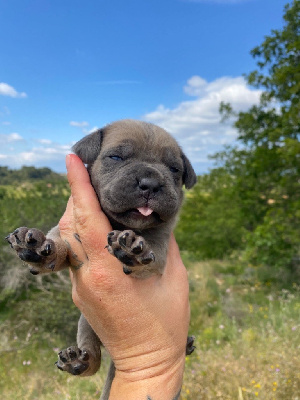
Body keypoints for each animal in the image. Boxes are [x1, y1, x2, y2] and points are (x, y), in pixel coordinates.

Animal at [5, 119, 197, 400]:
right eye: (116, 157)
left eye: (174, 169)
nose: (150, 183)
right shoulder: (66, 235)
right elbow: (59, 246)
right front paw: (39, 247)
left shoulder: (161, 247)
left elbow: (150, 254)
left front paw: (134, 250)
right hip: (86, 324)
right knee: (91, 357)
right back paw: (78, 361)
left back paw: (186, 344)